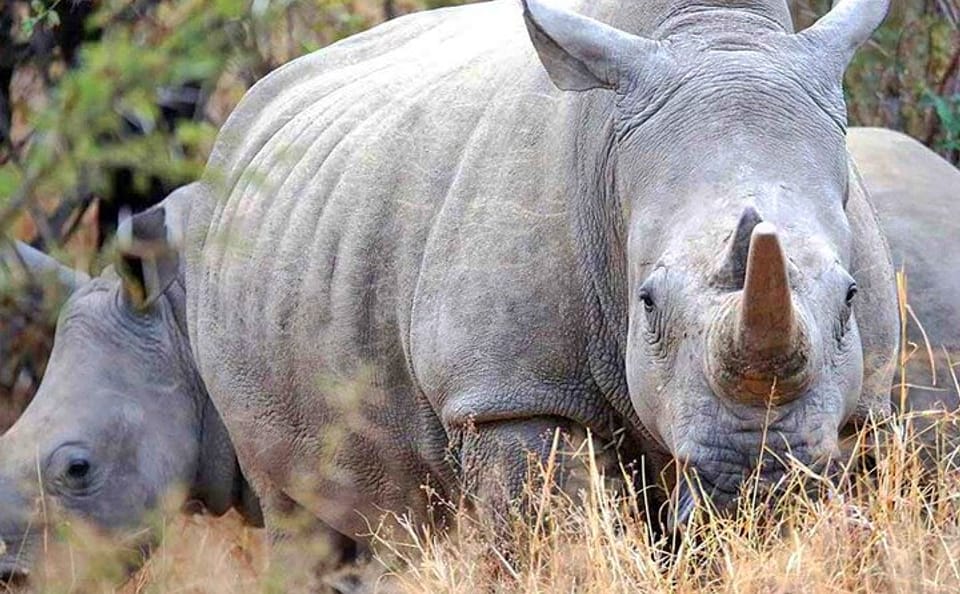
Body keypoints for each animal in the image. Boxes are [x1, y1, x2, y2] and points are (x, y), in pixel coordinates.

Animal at [0, 0, 913, 584]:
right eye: (647, 305)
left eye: (851, 299)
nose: (757, 479)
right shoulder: (510, 392)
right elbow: (554, 547)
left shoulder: (856, 414)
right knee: (307, 518)